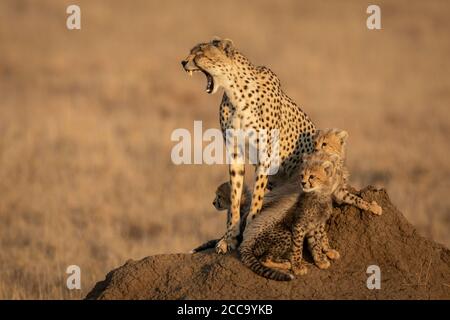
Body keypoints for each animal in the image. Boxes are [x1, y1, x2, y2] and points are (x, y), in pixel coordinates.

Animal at [181, 38, 314, 252]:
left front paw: (251, 228)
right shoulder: (235, 153)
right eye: (191, 51)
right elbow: (236, 195)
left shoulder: (265, 156)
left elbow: (257, 196)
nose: (183, 62)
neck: (236, 92)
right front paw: (229, 237)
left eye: (200, 54)